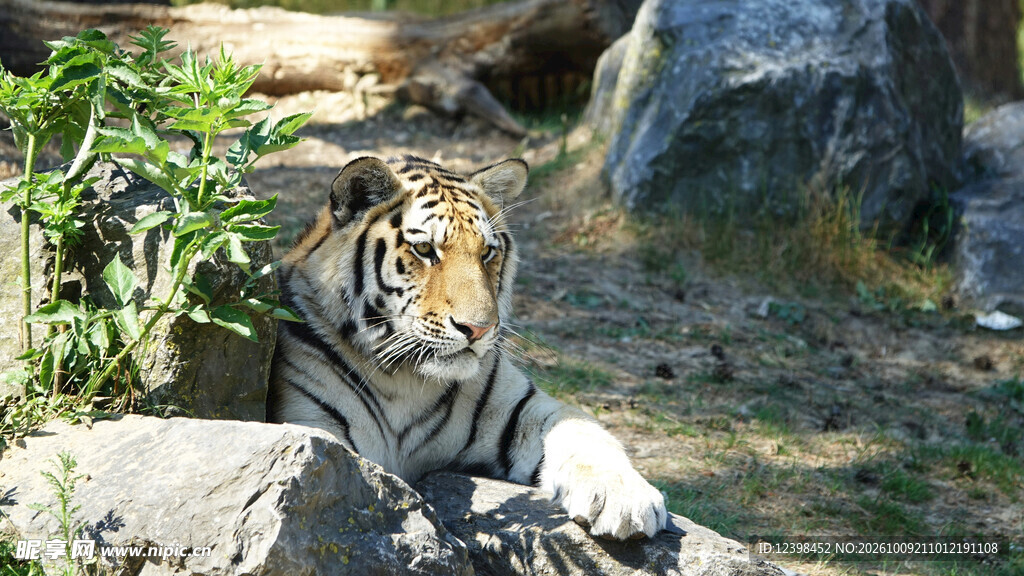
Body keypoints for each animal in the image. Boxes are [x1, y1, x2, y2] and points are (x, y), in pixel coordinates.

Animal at [268, 155, 667, 540]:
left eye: (487, 252)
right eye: (424, 249)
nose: (479, 328)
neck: (403, 378)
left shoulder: (522, 408)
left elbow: (584, 431)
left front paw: (624, 499)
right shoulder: (311, 420)